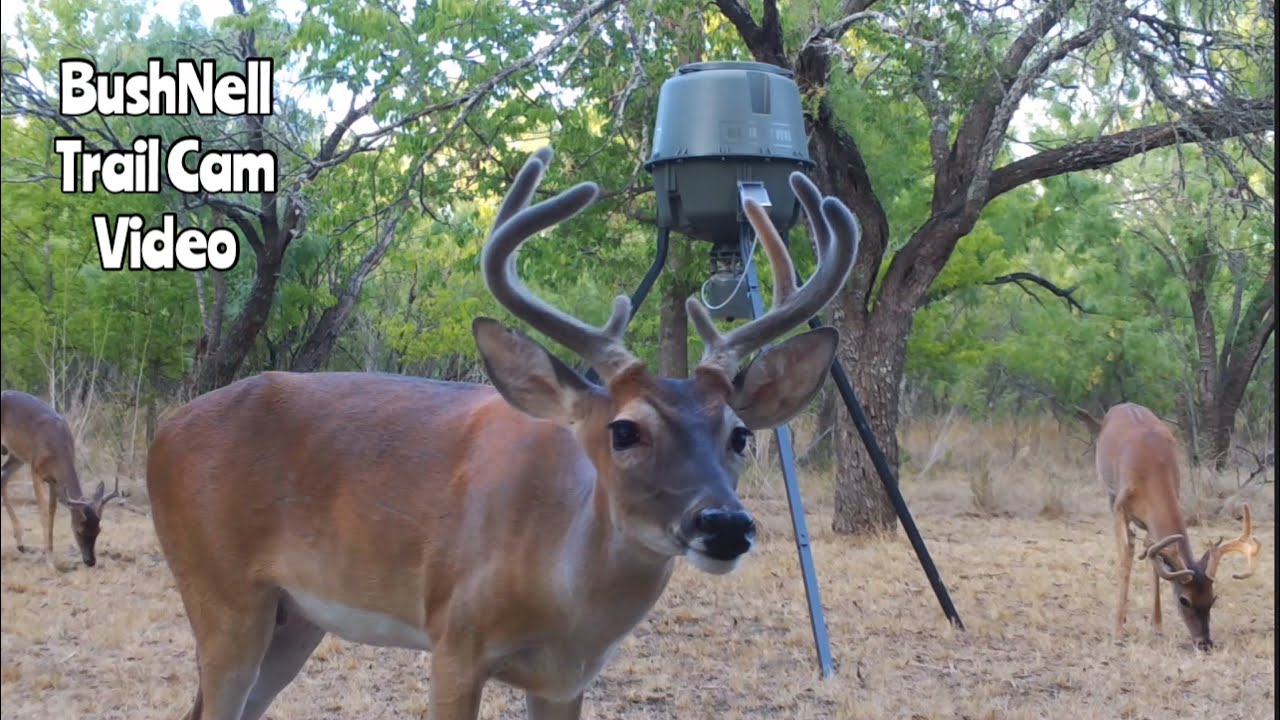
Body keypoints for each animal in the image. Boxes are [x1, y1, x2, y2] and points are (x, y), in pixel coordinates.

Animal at [1, 389, 122, 569]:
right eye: (79, 530)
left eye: (99, 530)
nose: (90, 561)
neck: (57, 448)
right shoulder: (35, 470)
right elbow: (44, 513)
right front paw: (49, 562)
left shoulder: (54, 480)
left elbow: (52, 512)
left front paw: (50, 554)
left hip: (16, 456)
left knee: (3, 478)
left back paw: (21, 543)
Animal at [145, 146, 860, 720]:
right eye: (624, 431)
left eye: (741, 435)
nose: (725, 524)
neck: (567, 603)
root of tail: (164, 430)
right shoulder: (454, 639)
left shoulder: (566, 679)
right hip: (220, 588)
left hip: (294, 616)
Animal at [1076, 402, 1262, 651]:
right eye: (1184, 600)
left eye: (1213, 598)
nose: (1205, 642)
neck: (1152, 470)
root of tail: (1121, 406)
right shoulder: (1119, 507)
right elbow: (1126, 557)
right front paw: (1118, 633)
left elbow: (1154, 562)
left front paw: (1157, 627)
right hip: (1109, 491)